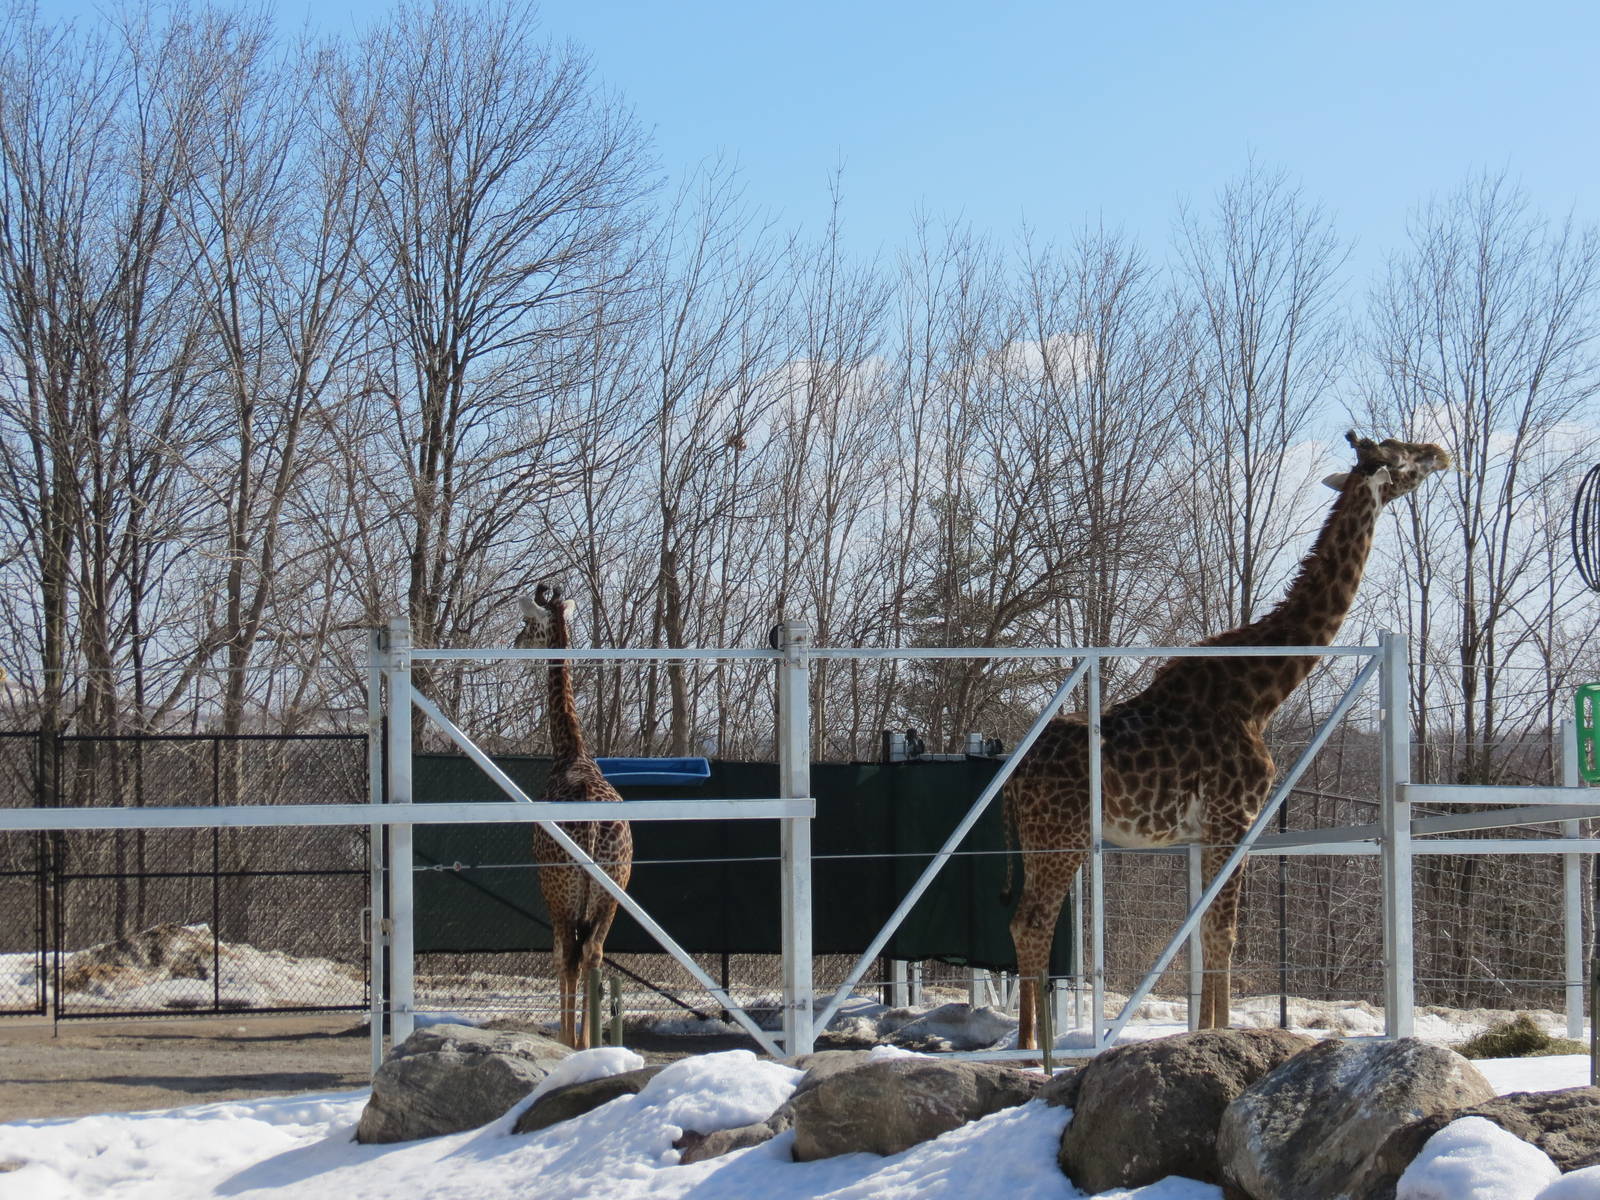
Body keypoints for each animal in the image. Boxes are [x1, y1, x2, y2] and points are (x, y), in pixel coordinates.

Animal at [516, 584, 633, 1049]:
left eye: (528, 622)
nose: (517, 641)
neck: (571, 752)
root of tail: (592, 829)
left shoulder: (548, 890)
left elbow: (557, 957)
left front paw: (567, 1038)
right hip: (613, 892)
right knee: (594, 953)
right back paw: (588, 1042)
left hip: (562, 891)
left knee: (568, 954)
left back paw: (573, 1042)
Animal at [1006, 432, 1449, 1050]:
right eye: (1401, 452)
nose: (1441, 452)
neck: (1262, 692)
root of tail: (1015, 775)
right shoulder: (1234, 817)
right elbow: (1225, 930)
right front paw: (1221, 1034)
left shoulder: (1202, 832)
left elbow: (1204, 930)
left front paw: (1204, 1031)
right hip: (1062, 836)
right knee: (1032, 921)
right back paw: (1031, 1047)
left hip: (1034, 838)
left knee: (1021, 919)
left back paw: (1024, 1038)